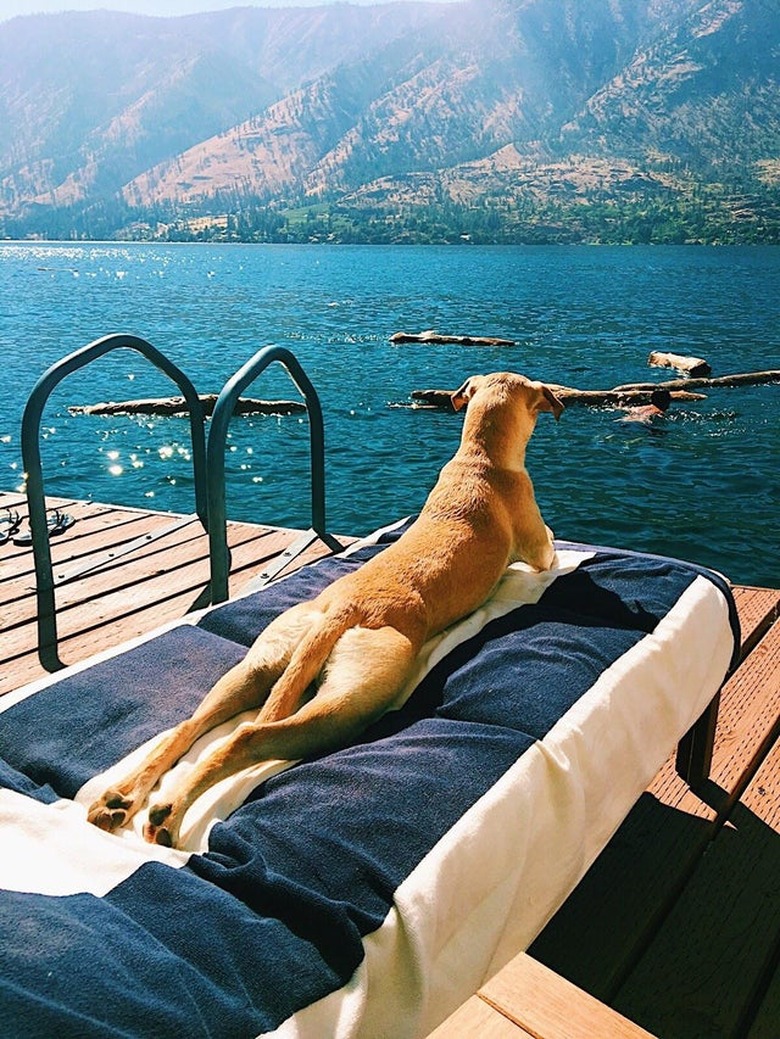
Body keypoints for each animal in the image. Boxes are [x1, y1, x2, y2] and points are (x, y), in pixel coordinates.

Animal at [88, 369, 565, 847]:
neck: (479, 459)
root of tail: (341, 609)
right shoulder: (539, 549)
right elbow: (550, 546)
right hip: (348, 703)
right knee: (246, 735)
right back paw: (169, 813)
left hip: (260, 664)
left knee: (190, 727)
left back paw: (121, 798)